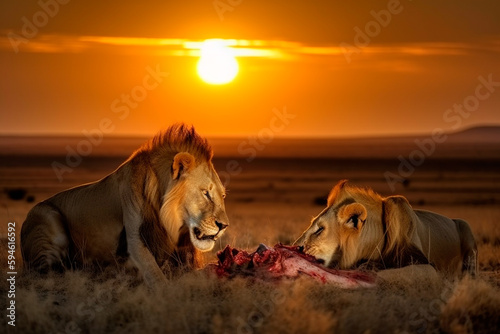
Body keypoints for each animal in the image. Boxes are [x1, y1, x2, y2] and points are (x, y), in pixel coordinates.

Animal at [21, 124, 229, 286]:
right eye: (206, 193)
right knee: (46, 272)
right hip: (47, 218)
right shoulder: (135, 239)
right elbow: (158, 278)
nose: (224, 226)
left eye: (223, 196)